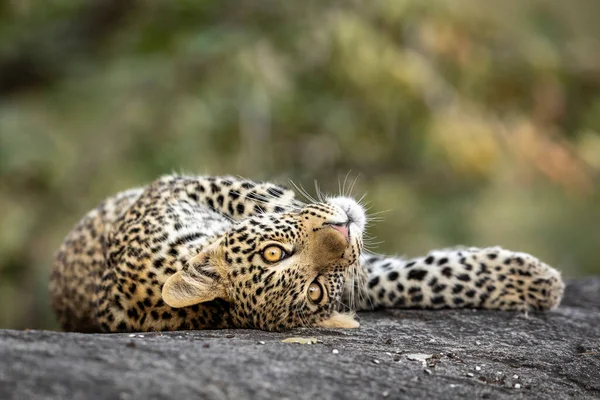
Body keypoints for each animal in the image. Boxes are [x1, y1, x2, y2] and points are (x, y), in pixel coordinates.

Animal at [49, 173, 564, 332]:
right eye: (313, 292)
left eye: (274, 253)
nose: (343, 228)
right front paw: (541, 283)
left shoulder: (182, 186)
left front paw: (529, 281)